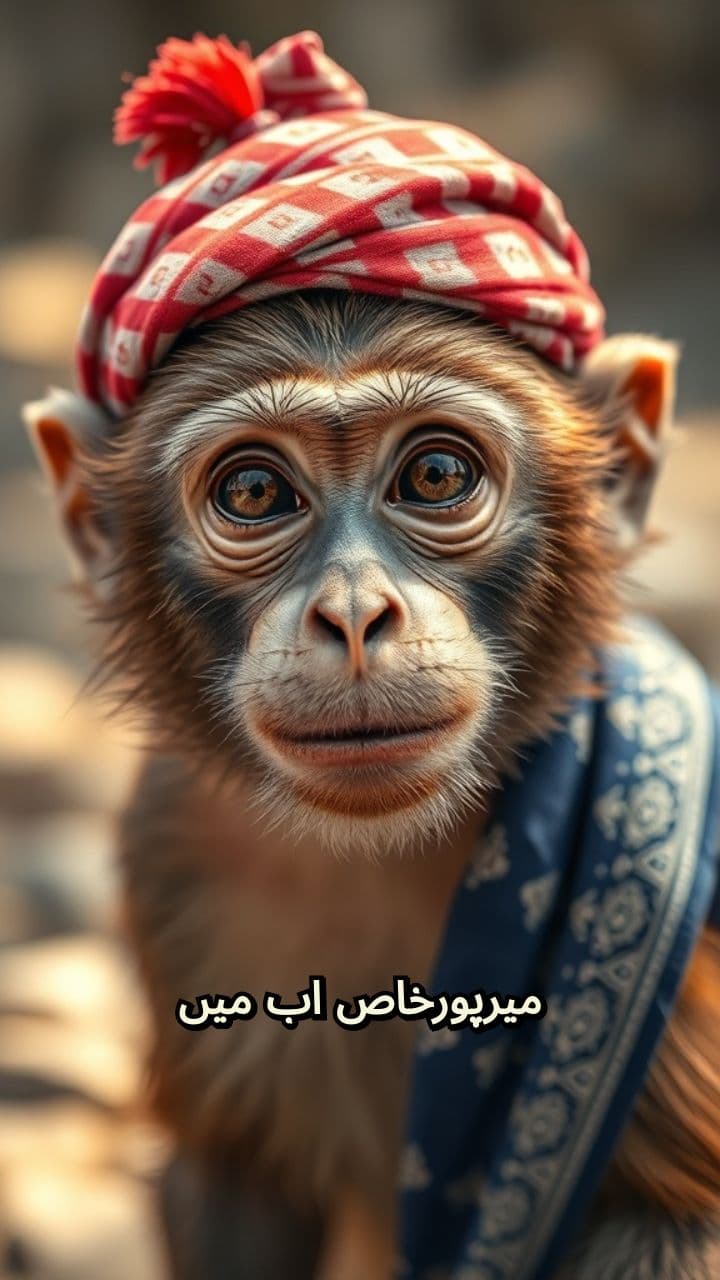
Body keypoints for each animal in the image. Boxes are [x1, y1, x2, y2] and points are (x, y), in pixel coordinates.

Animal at [26, 288, 720, 1280]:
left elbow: (669, 1220)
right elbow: (235, 1181)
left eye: (434, 474)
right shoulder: (170, 844)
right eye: (254, 493)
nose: (354, 614)